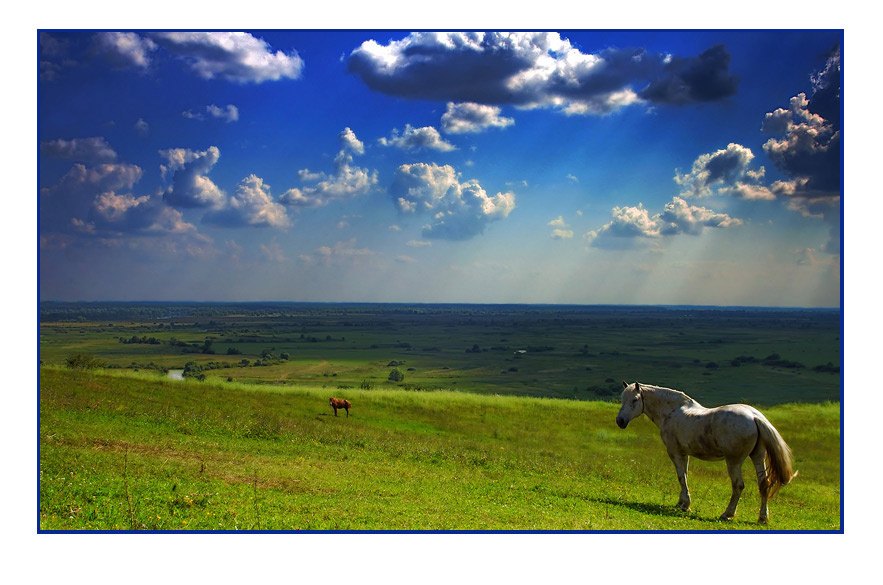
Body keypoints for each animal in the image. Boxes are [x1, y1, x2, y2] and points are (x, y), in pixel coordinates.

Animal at [616, 381, 796, 523]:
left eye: (635, 399)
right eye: (622, 399)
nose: (620, 421)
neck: (672, 411)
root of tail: (754, 416)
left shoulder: (675, 452)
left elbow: (681, 477)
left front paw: (686, 505)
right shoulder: (684, 453)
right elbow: (685, 475)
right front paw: (681, 503)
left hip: (734, 461)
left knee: (738, 485)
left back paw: (727, 514)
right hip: (758, 456)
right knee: (764, 484)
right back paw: (762, 517)